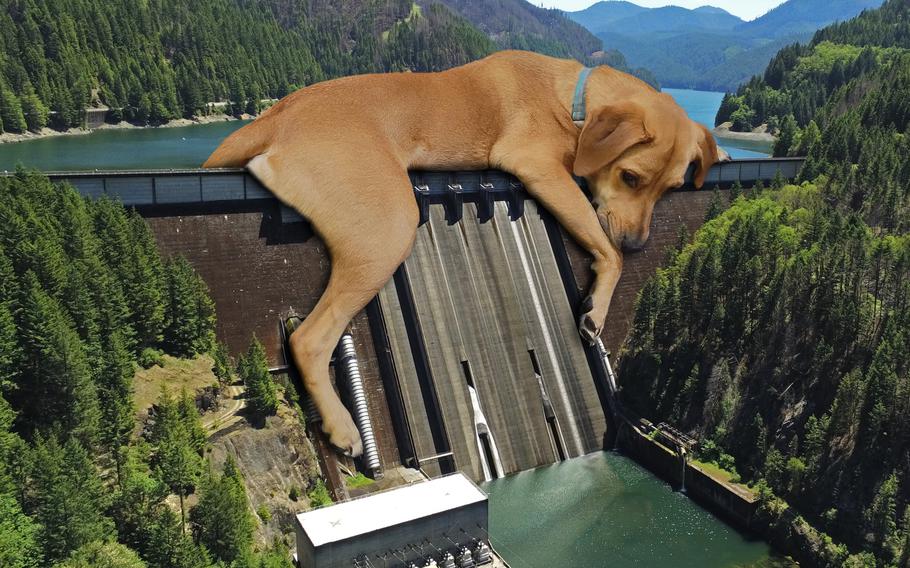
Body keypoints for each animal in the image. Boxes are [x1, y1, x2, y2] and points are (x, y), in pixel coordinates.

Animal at [203, 50, 724, 458]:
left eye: (670, 189)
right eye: (631, 177)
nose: (638, 246)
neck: (572, 101)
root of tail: (272, 119)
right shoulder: (540, 168)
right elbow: (604, 249)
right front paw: (596, 306)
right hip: (388, 229)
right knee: (309, 339)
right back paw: (344, 427)